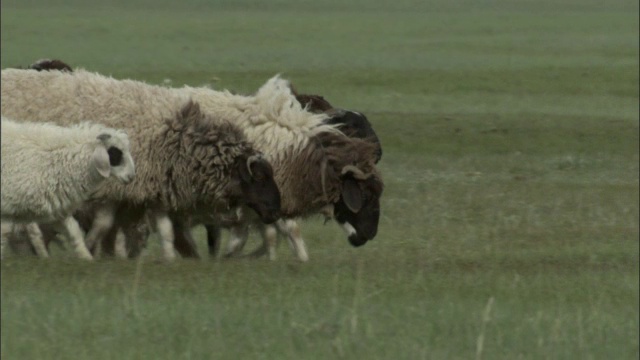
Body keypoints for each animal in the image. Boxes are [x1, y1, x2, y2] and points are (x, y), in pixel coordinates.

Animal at [0, 116, 136, 260]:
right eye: (115, 152)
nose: (131, 176)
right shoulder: (8, 207)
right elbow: (5, 234)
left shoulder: (55, 210)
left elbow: (74, 232)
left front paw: (87, 258)